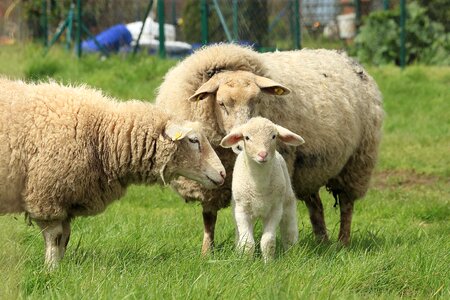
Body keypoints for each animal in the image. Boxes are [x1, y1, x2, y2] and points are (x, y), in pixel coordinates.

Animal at [0, 78, 225, 268]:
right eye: (194, 140)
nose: (222, 173)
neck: (102, 135)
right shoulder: (47, 197)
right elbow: (55, 237)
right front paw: (51, 269)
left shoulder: (66, 198)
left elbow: (65, 237)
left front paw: (60, 268)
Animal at [220, 117, 304, 262]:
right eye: (247, 137)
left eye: (274, 136)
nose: (263, 154)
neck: (259, 186)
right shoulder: (242, 211)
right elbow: (247, 243)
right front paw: (246, 261)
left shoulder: (275, 210)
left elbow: (268, 241)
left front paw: (268, 263)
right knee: (239, 234)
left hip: (287, 201)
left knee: (289, 228)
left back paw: (292, 251)